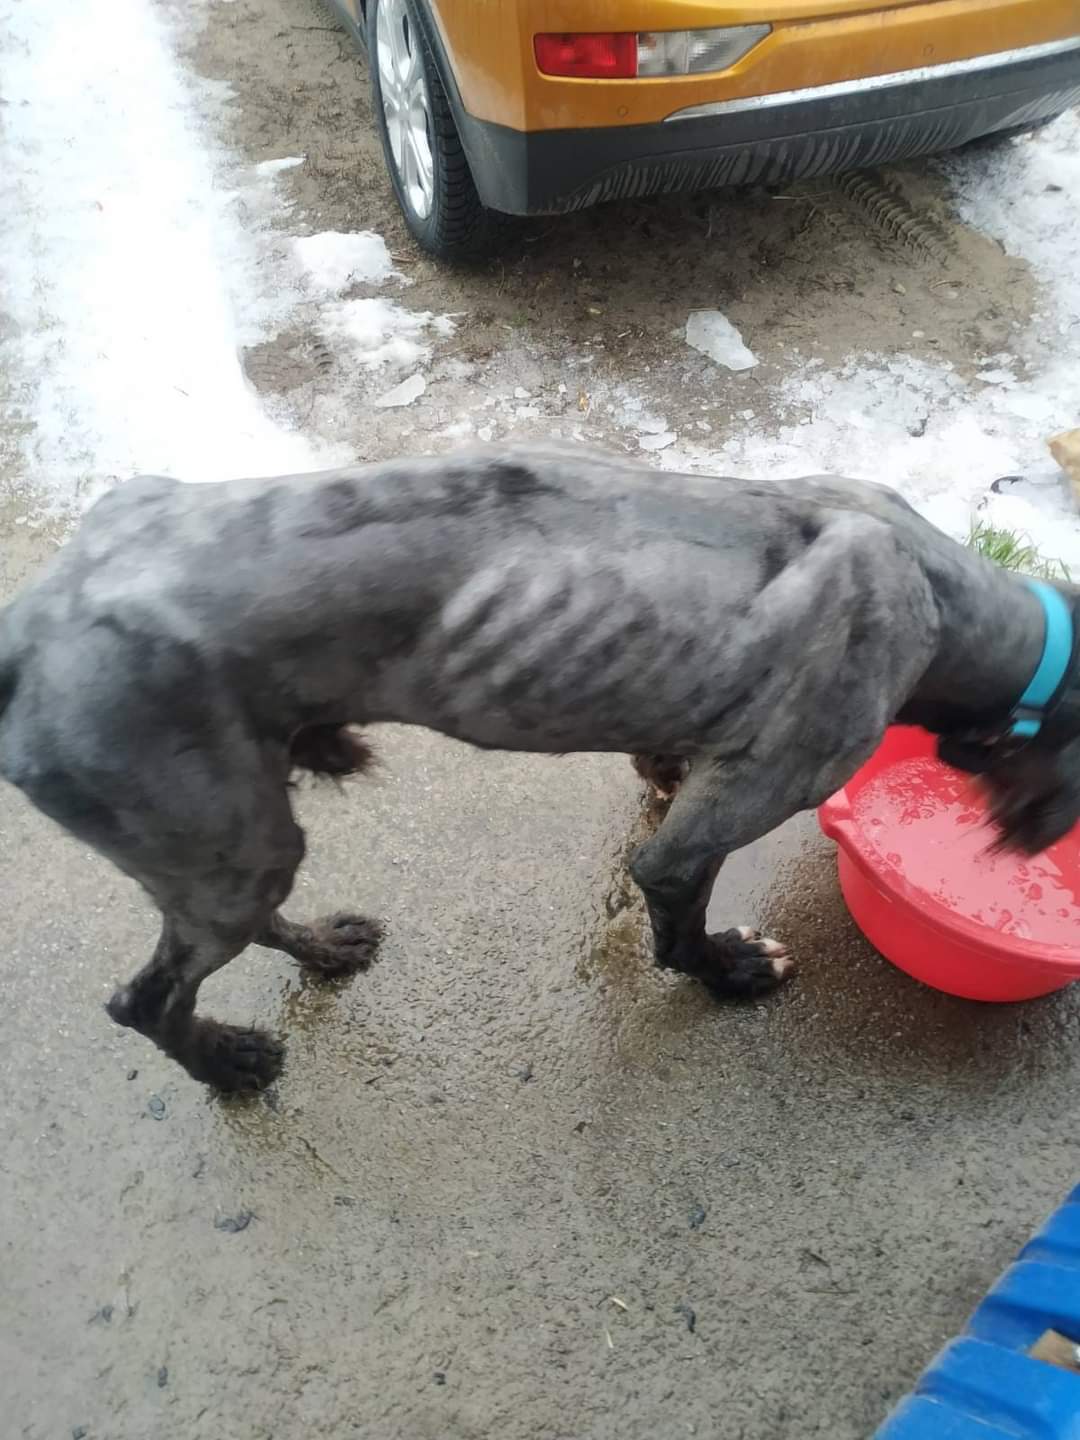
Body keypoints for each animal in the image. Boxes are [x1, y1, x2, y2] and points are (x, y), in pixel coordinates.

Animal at [2, 446, 1077, 1093]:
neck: (944, 592)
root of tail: (31, 621)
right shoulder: (710, 828)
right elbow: (678, 916)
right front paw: (732, 971)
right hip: (218, 837)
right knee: (143, 1001)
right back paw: (226, 1065)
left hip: (236, 836)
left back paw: (324, 952)